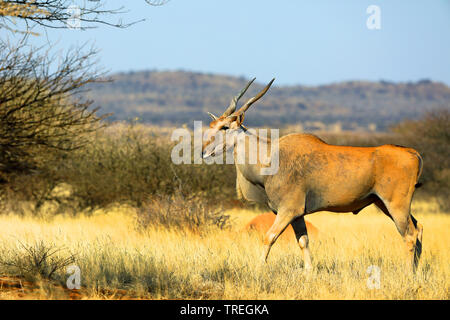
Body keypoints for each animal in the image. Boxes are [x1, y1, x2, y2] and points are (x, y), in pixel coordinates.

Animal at [202, 77, 424, 272]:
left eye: (224, 127)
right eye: (212, 126)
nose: (204, 151)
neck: (270, 157)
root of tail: (412, 153)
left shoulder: (288, 210)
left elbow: (269, 237)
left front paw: (257, 270)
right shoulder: (297, 215)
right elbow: (303, 241)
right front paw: (309, 272)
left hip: (396, 205)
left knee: (409, 235)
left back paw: (407, 274)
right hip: (383, 203)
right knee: (418, 228)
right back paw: (417, 272)